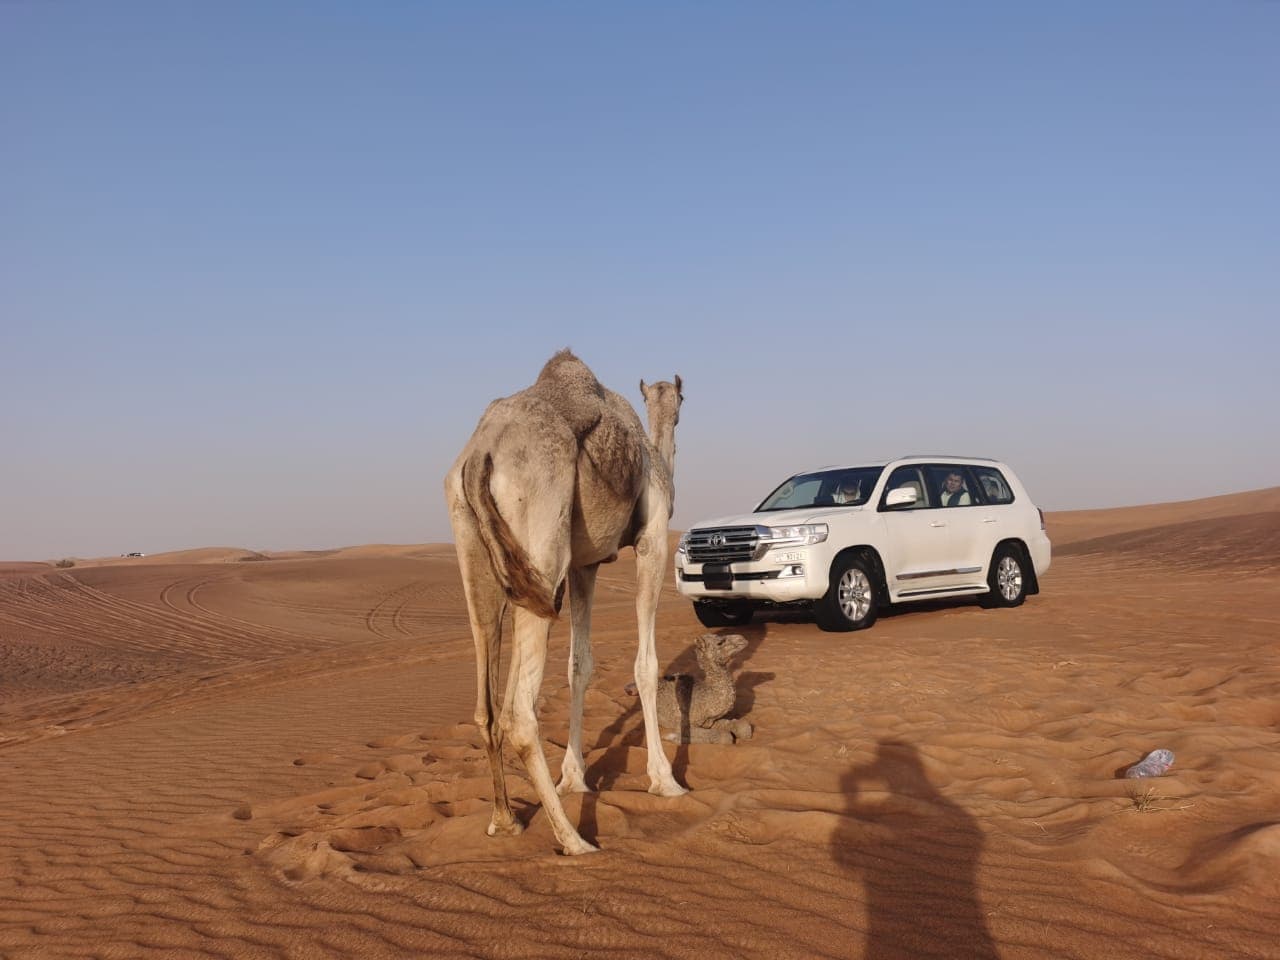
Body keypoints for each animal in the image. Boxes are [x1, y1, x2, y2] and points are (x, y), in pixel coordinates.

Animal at [444, 349, 685, 855]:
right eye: (682, 398)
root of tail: (478, 457)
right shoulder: (652, 539)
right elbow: (646, 665)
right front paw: (664, 779)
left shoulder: (583, 566)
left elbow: (580, 665)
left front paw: (574, 778)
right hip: (540, 541)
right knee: (518, 714)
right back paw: (574, 839)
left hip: (477, 550)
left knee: (487, 704)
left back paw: (505, 820)